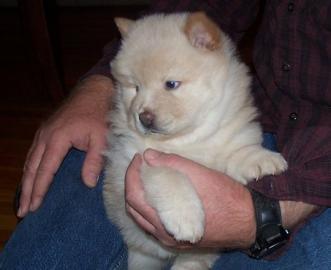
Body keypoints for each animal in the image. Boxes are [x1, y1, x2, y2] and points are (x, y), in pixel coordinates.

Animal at [104, 12, 288, 270]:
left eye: (171, 84)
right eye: (135, 88)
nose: (143, 117)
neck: (189, 140)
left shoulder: (224, 139)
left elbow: (238, 151)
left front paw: (264, 159)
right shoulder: (137, 159)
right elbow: (169, 174)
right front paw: (186, 220)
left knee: (196, 258)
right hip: (142, 250)